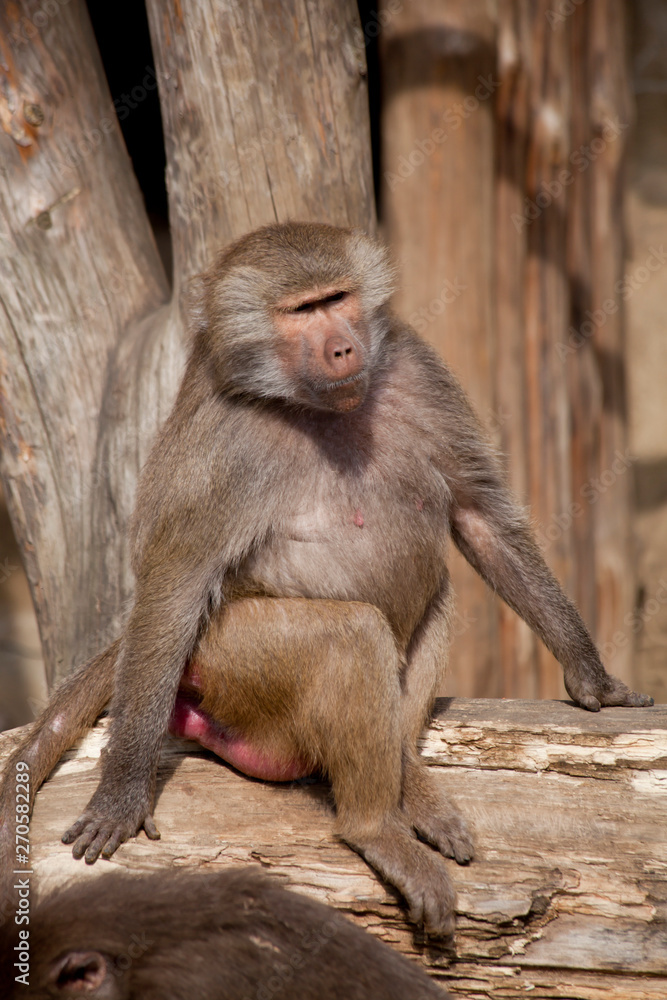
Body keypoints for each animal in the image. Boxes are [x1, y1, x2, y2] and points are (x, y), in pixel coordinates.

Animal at [0, 222, 653, 939]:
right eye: (300, 311)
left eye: (335, 298)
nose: (342, 347)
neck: (314, 403)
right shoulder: (226, 439)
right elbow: (175, 583)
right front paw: (121, 791)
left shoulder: (414, 364)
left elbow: (479, 516)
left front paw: (593, 678)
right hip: (224, 657)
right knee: (352, 635)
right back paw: (377, 830)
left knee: (436, 594)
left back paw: (408, 785)